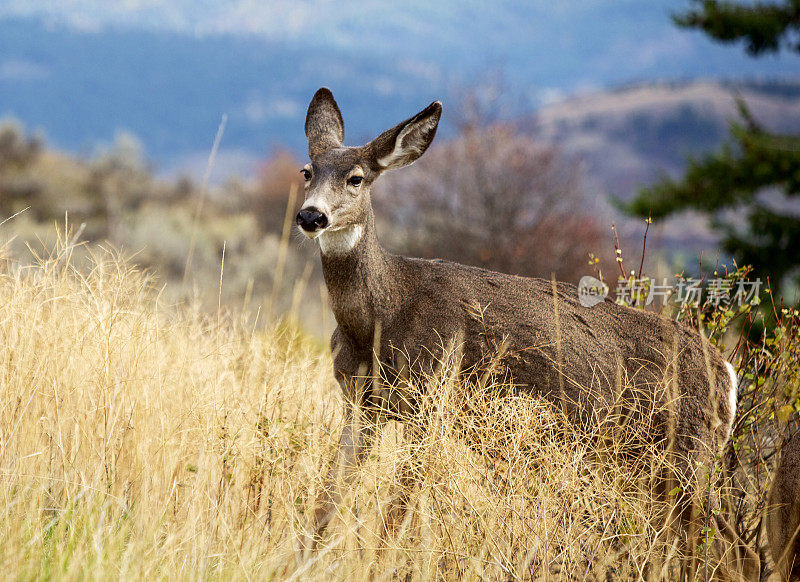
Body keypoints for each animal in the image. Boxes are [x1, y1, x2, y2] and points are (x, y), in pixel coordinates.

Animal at [296, 89, 740, 568]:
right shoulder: (358, 402)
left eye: (356, 178)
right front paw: (298, 561)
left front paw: (385, 563)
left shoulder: (433, 389)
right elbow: (325, 500)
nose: (311, 216)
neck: (381, 318)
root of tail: (728, 373)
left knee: (725, 544)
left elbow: (398, 510)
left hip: (687, 451)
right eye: (307, 171)